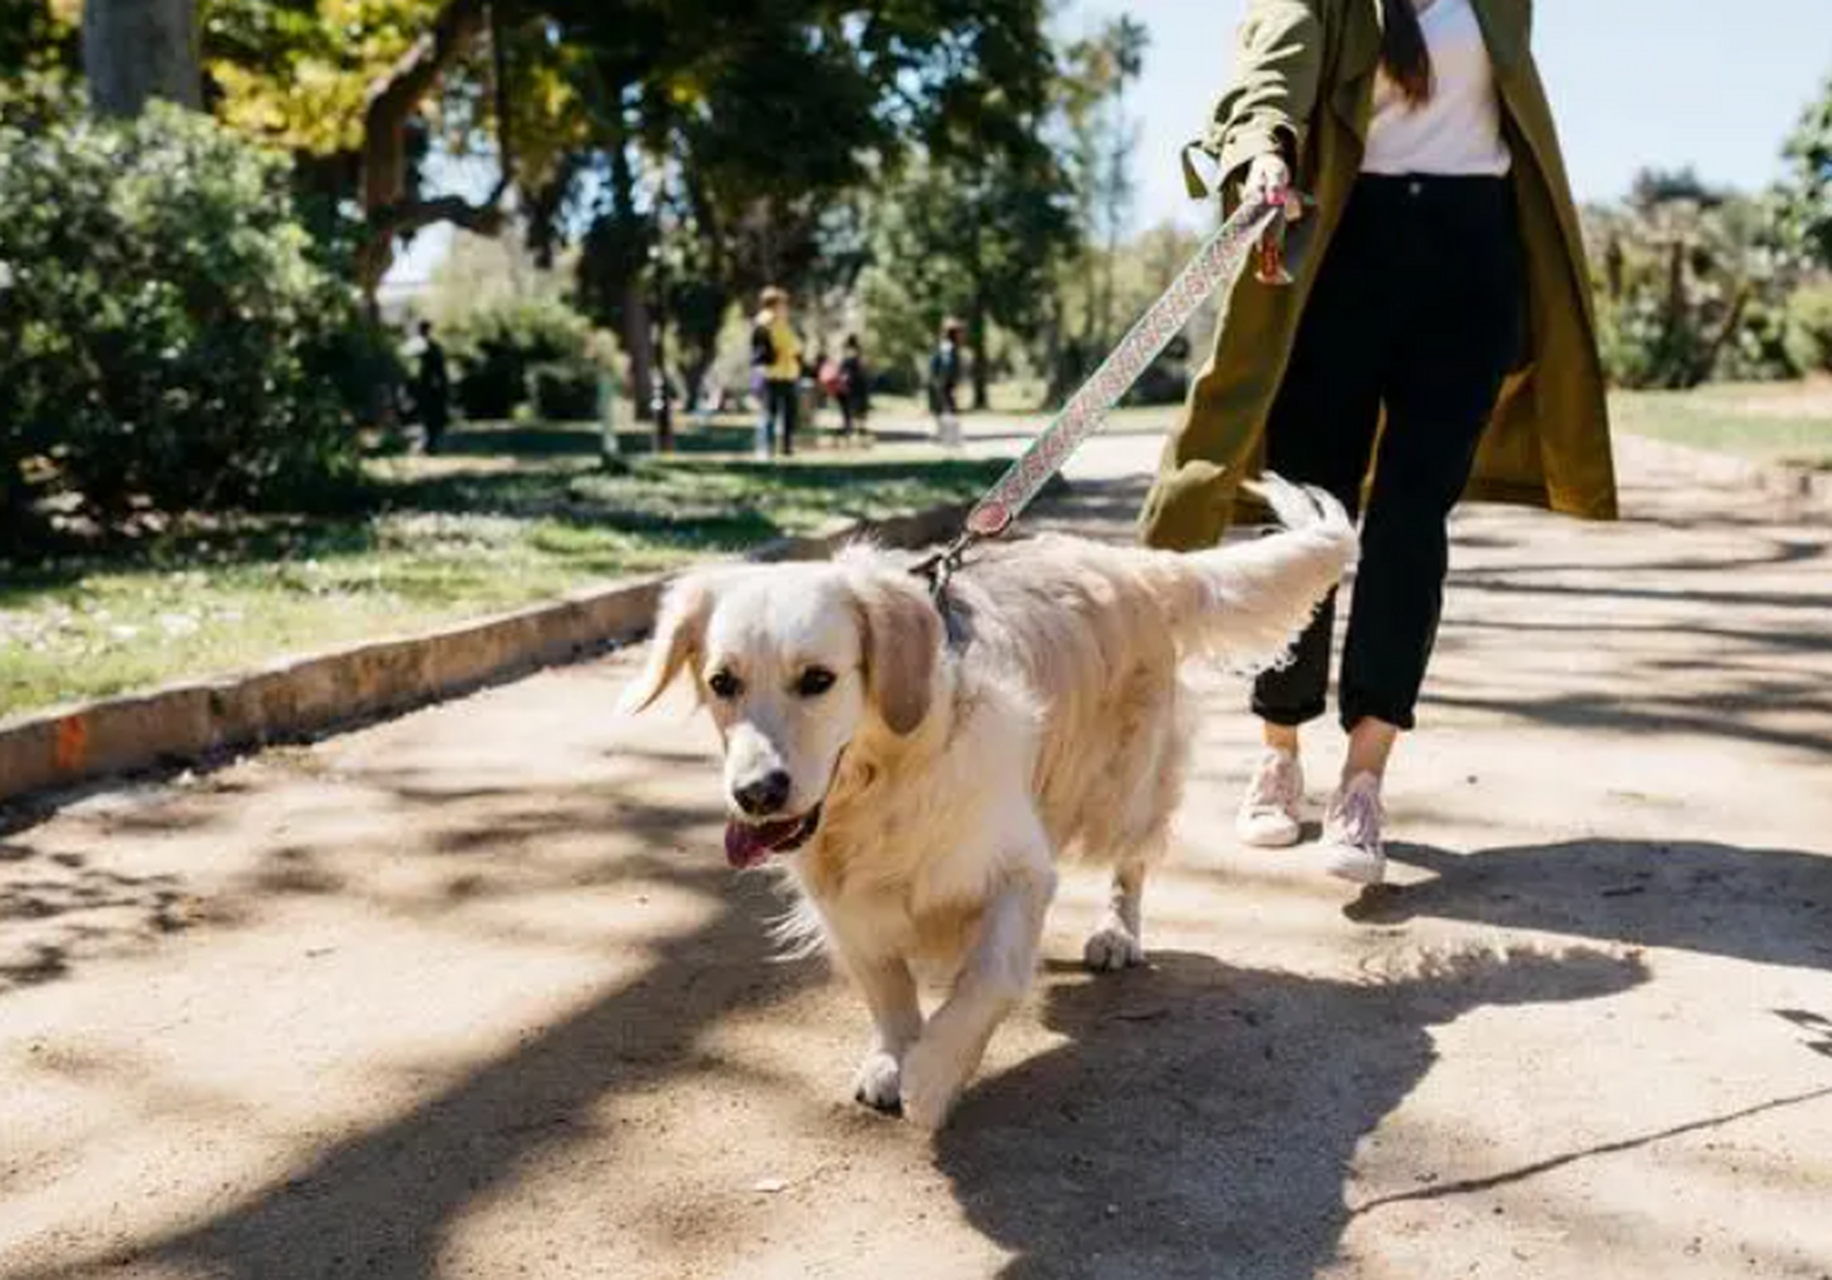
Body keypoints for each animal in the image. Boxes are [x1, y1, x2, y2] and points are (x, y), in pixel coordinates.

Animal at [622, 476, 1355, 1128]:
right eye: (723, 682)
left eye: (818, 680)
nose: (756, 794)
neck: (888, 778)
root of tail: (1138, 565)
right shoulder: (843, 899)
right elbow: (885, 985)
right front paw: (891, 1057)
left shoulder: (1018, 870)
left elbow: (989, 978)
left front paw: (931, 1074)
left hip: (1124, 789)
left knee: (1134, 862)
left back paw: (1116, 934)